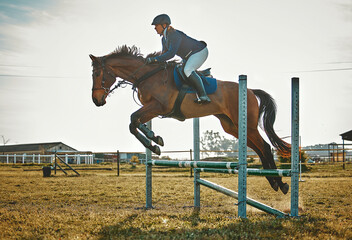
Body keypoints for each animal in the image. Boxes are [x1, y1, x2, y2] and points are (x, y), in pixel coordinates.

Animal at [90, 45, 292, 195]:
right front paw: (154, 140)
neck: (146, 75)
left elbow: (133, 120)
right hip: (233, 127)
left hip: (247, 126)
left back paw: (281, 184)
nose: (97, 101)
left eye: (97, 74)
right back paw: (274, 182)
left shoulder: (159, 107)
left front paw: (155, 141)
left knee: (265, 147)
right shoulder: (152, 109)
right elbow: (135, 123)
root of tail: (250, 90)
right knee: (259, 150)